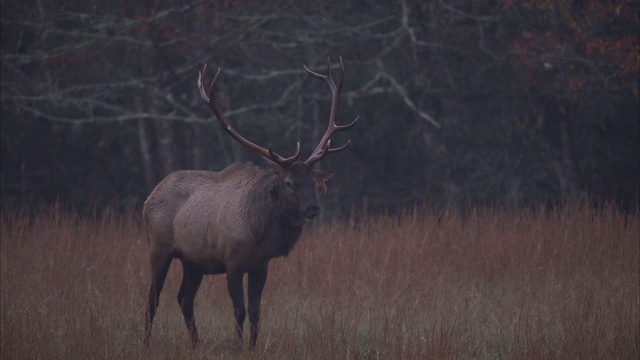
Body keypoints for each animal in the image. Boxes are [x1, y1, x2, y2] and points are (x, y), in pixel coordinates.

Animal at [142, 57, 358, 348]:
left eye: (313, 183)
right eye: (289, 183)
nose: (313, 208)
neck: (258, 233)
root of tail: (150, 196)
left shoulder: (260, 266)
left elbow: (256, 311)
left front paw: (252, 347)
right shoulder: (232, 263)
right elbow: (239, 310)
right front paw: (237, 347)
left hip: (193, 261)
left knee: (184, 299)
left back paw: (197, 344)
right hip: (159, 248)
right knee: (153, 300)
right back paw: (146, 343)